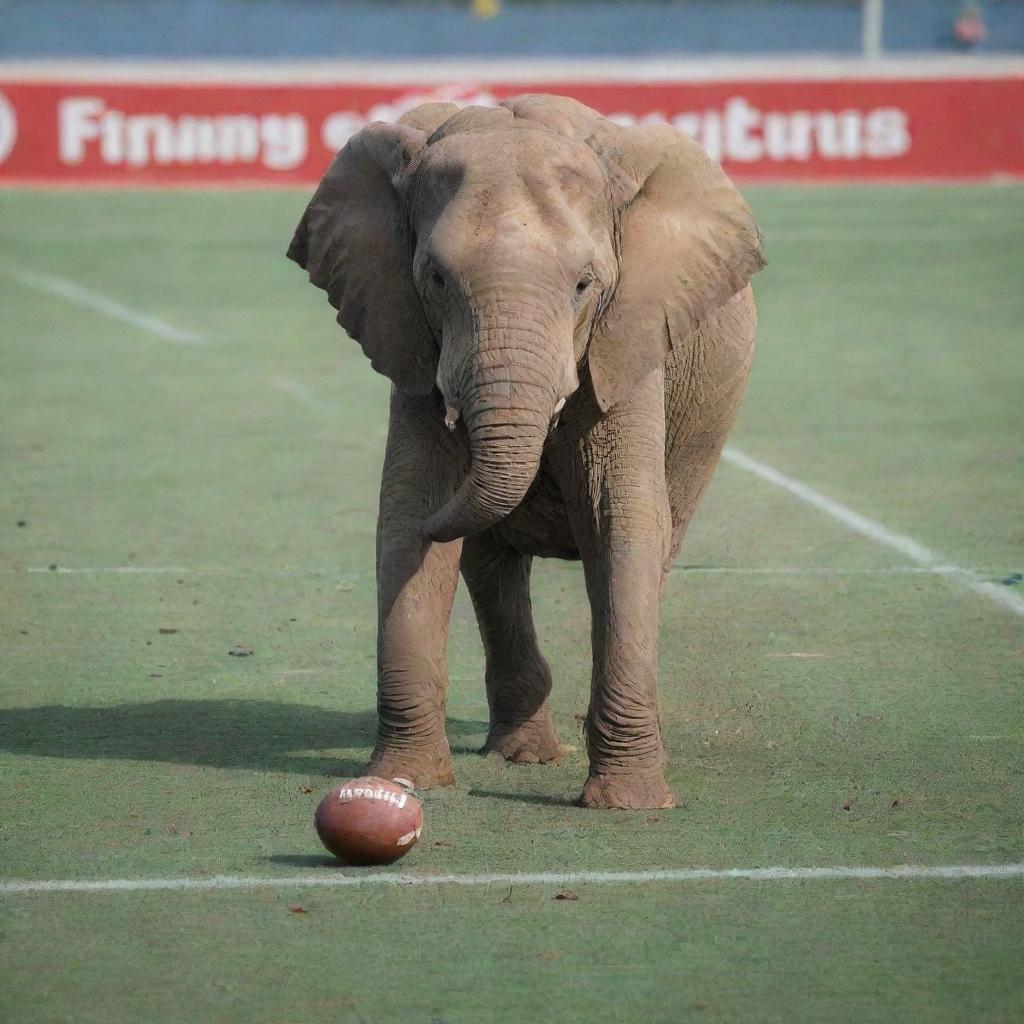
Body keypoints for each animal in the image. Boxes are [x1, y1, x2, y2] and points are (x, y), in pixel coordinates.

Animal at [284, 94, 765, 806]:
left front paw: (629, 805)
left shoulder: (627, 339)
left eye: (585, 285)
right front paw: (400, 783)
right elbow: (408, 517)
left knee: (653, 548)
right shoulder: (410, 342)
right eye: (434, 279)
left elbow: (621, 519)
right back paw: (523, 753)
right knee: (491, 563)